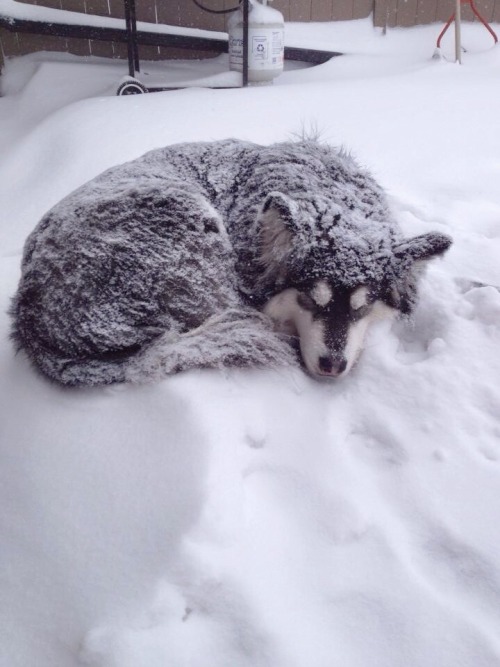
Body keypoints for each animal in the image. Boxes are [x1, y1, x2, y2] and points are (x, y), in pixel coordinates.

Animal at [8, 141, 454, 386]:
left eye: (363, 307)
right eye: (309, 300)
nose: (332, 366)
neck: (328, 193)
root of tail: (28, 312)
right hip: (190, 216)